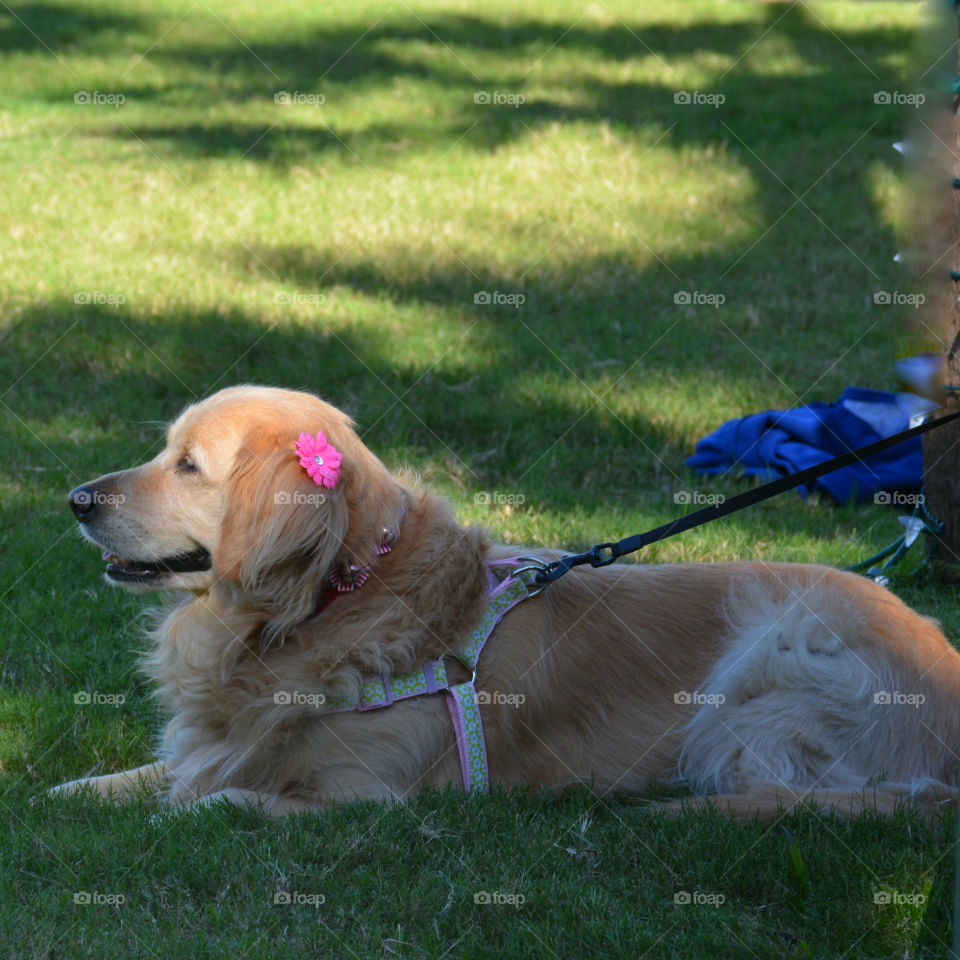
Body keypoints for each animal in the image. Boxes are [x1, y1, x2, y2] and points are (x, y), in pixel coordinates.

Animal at [54, 382, 960, 816]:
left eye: (188, 467)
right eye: (165, 450)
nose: (76, 499)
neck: (331, 603)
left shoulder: (369, 796)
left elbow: (215, 803)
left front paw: (180, 809)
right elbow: (146, 775)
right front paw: (67, 793)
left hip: (783, 646)